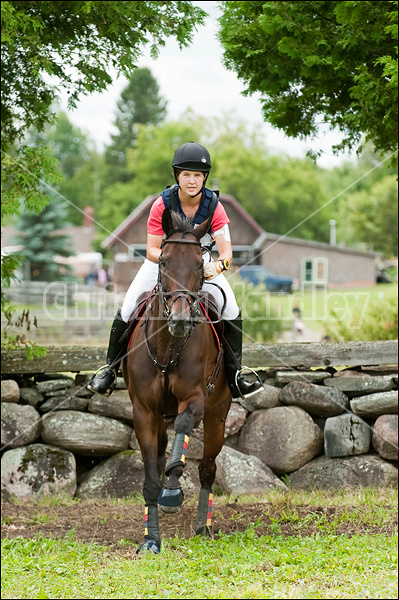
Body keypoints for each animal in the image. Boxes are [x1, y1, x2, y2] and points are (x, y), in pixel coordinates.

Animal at [124, 209, 231, 556]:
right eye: (164, 261)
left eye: (200, 263)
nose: (181, 321)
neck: (168, 347)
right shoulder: (144, 411)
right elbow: (149, 477)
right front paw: (151, 539)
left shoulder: (196, 399)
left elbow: (183, 427)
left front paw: (172, 489)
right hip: (160, 417)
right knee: (159, 452)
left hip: (217, 416)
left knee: (207, 468)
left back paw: (203, 526)